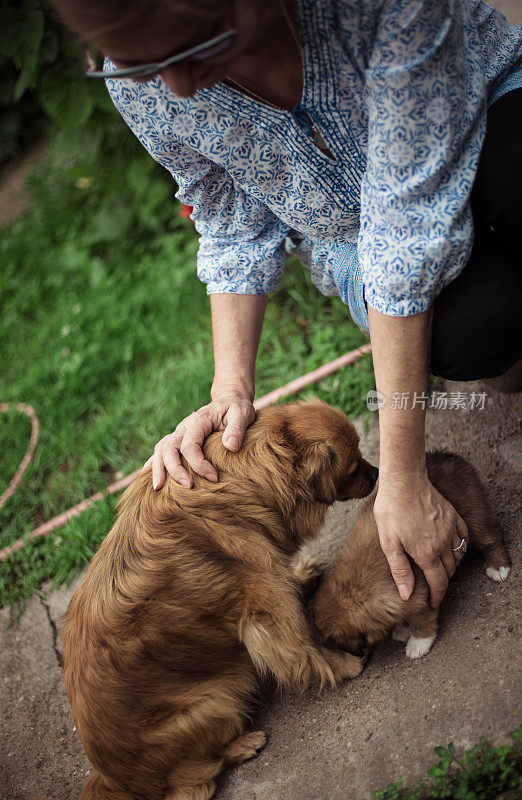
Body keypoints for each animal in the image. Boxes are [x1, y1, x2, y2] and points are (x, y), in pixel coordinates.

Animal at [63, 400, 376, 800]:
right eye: (353, 466)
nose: (378, 473)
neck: (245, 478)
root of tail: (113, 779)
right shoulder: (266, 607)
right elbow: (303, 647)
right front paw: (344, 665)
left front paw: (302, 576)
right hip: (217, 698)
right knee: (199, 773)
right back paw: (242, 745)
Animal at [310, 450, 510, 664]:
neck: (353, 588)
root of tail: (446, 455)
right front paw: (403, 628)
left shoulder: (422, 594)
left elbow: (421, 620)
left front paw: (418, 643)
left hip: (473, 515)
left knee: (492, 538)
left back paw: (498, 567)